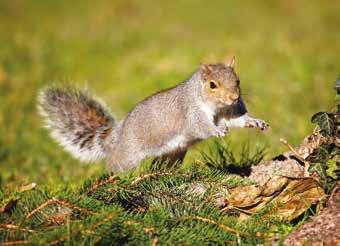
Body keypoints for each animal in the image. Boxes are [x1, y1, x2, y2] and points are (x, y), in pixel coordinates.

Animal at [38, 57, 268, 173]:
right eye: (212, 85)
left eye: (237, 80)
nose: (234, 97)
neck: (216, 106)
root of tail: (116, 134)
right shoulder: (191, 111)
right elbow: (200, 126)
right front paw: (217, 130)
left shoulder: (230, 111)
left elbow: (238, 119)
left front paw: (255, 122)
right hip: (128, 155)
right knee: (114, 166)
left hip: (173, 154)